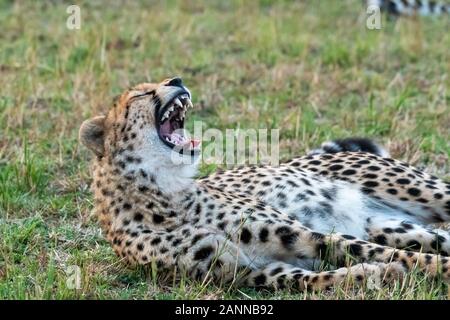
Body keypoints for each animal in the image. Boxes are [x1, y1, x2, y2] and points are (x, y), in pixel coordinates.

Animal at [80, 77, 450, 290]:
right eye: (141, 94)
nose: (177, 78)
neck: (161, 194)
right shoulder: (249, 271)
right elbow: (313, 281)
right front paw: (375, 275)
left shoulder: (303, 234)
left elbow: (386, 254)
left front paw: (435, 269)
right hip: (394, 226)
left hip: (423, 192)